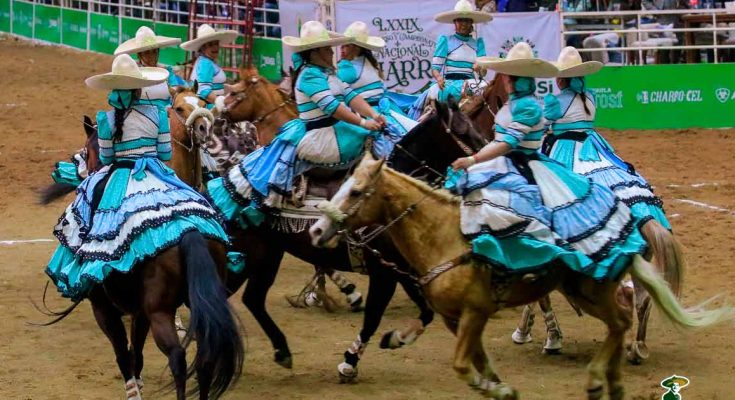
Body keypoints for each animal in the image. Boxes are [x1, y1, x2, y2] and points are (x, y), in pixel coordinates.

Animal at [36, 100, 244, 400]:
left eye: (87, 151)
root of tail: (189, 230)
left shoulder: (105, 309)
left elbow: (123, 353)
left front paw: (133, 389)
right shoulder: (139, 311)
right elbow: (136, 351)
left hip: (159, 311)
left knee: (177, 357)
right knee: (205, 358)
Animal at [308, 151, 732, 400]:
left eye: (356, 192)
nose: (315, 230)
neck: (444, 237)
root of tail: (631, 223)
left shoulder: (475, 312)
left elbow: (463, 366)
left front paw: (497, 386)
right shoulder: (454, 319)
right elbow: (478, 361)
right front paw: (501, 385)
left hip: (591, 291)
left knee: (623, 319)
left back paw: (601, 376)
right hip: (582, 290)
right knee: (622, 320)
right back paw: (611, 380)